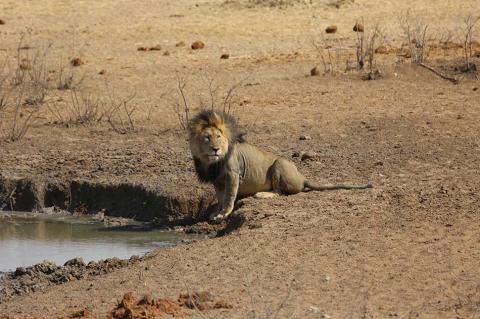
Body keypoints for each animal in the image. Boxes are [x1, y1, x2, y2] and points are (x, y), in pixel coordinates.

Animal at [189, 111, 374, 221]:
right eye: (207, 137)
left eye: (219, 137)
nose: (216, 149)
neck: (211, 162)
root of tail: (303, 178)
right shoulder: (217, 181)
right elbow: (220, 198)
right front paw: (216, 212)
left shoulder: (233, 174)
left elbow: (229, 197)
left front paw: (223, 214)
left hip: (280, 163)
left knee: (279, 192)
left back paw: (261, 194)